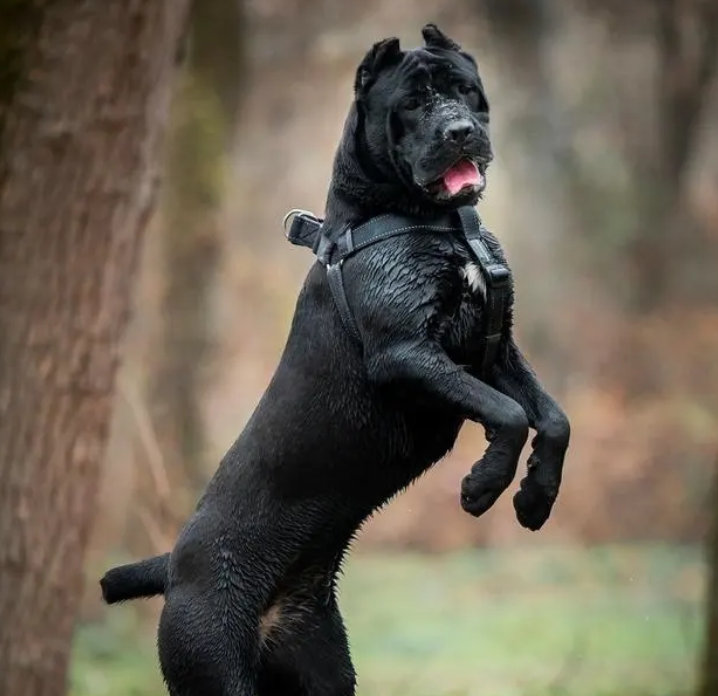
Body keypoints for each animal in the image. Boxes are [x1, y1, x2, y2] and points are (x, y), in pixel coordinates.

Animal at [102, 23, 572, 696]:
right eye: (414, 103)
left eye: (466, 91)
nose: (460, 130)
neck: (432, 221)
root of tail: (172, 572)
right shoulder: (408, 354)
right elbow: (507, 413)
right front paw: (483, 487)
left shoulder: (494, 348)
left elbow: (553, 418)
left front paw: (535, 499)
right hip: (213, 662)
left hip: (323, 666)